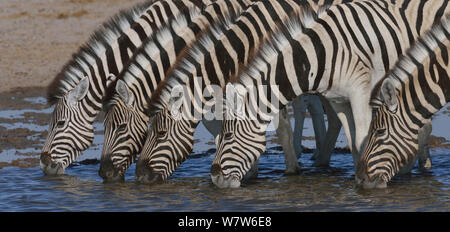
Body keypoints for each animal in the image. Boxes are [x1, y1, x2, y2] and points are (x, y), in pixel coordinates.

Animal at [135, 0, 354, 185]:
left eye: (161, 134)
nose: (139, 176)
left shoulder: (271, 81)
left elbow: (280, 129)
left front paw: (290, 170)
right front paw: (248, 169)